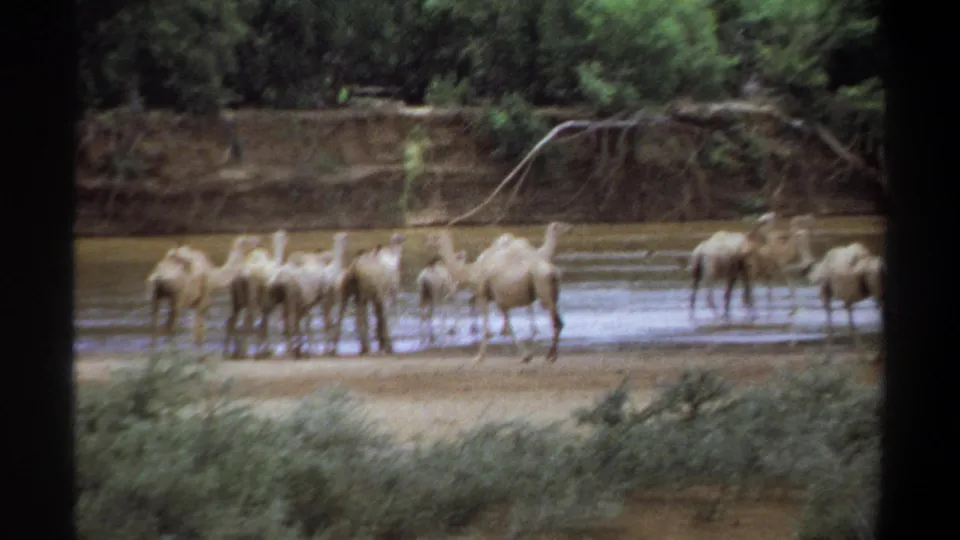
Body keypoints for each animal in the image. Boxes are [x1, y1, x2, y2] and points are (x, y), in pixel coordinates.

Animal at [223, 230, 288, 359]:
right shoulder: (267, 304)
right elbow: (263, 327)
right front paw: (266, 350)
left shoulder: (265, 305)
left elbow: (263, 327)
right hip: (251, 300)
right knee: (247, 323)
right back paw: (245, 352)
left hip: (237, 300)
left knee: (232, 322)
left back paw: (230, 352)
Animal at [424, 230, 563, 364]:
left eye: (435, 237)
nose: (426, 241)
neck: (472, 271)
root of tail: (553, 272)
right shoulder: (500, 301)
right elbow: (508, 326)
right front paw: (526, 356)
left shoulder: (484, 295)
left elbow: (489, 329)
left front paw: (479, 357)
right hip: (552, 293)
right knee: (558, 321)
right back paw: (551, 355)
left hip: (543, 288)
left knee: (556, 322)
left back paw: (550, 356)